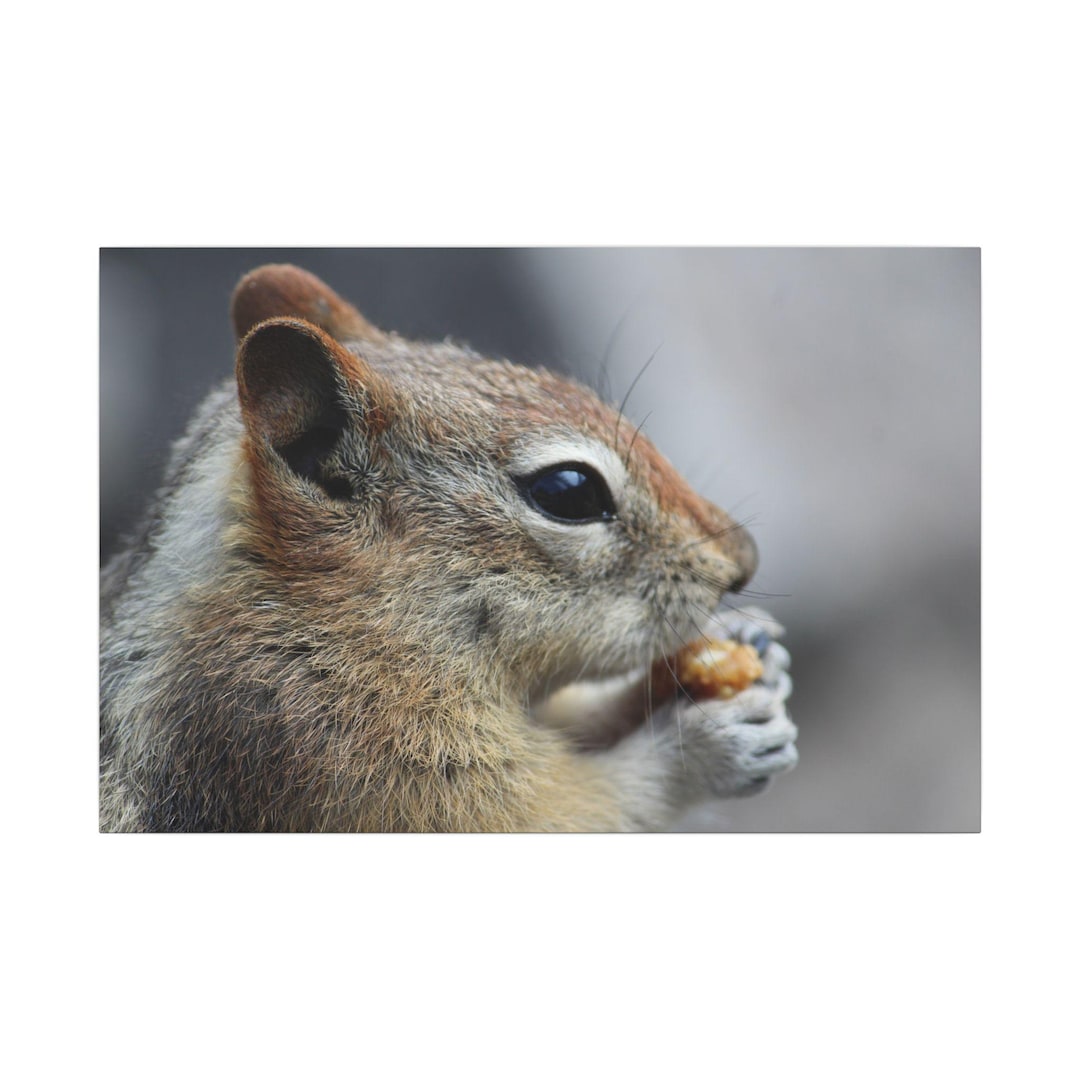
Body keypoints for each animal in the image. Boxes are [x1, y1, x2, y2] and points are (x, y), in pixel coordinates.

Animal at [99, 264, 797, 831]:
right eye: (568, 492)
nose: (743, 563)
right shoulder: (311, 741)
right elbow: (563, 813)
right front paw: (702, 744)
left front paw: (749, 645)